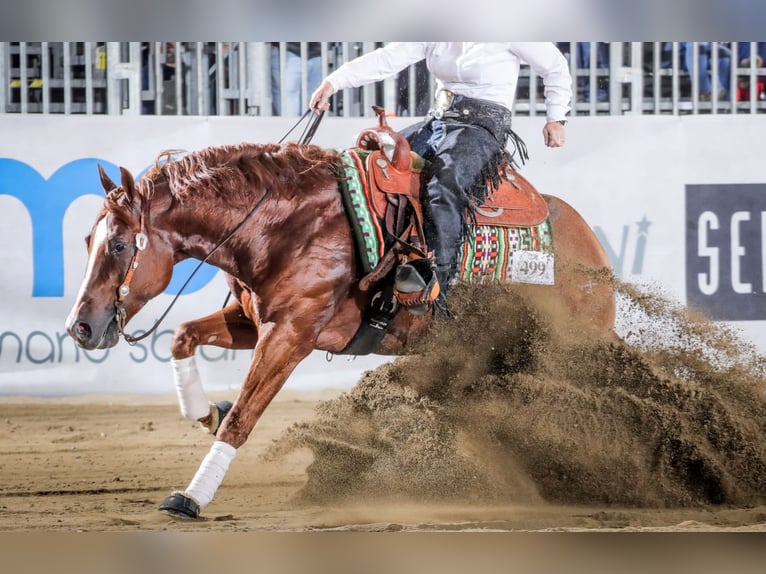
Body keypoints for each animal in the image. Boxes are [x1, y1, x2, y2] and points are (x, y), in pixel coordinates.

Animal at [65, 135, 615, 519]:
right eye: (89, 239)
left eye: (119, 244)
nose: (80, 328)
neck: (286, 226)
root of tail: (591, 247)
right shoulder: (253, 322)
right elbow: (184, 337)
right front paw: (206, 412)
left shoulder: (290, 335)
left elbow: (244, 418)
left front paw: (191, 497)